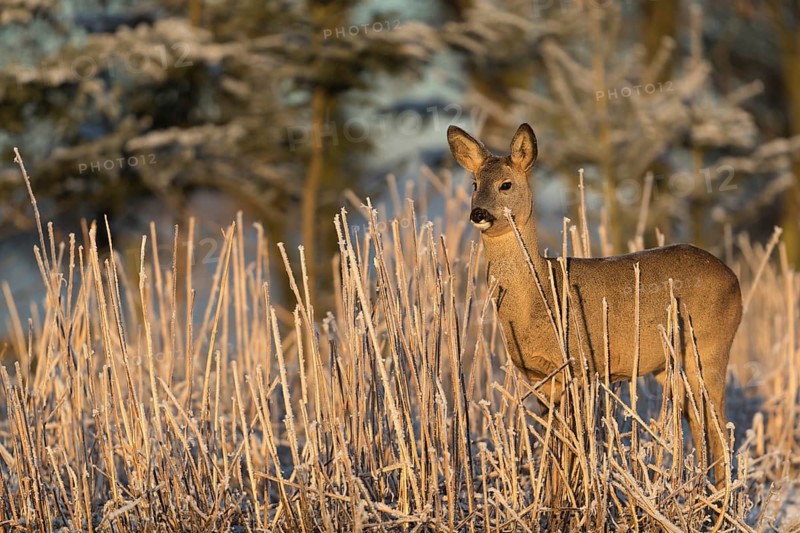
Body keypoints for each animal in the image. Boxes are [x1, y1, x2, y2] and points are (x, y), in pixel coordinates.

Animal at [447, 123, 742, 487]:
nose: (478, 213)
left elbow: (574, 446)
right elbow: (553, 447)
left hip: (710, 347)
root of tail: (734, 278)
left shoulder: (577, 365)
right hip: (669, 365)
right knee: (699, 423)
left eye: (506, 183)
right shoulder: (539, 377)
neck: (538, 295)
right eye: (474, 184)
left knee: (721, 427)